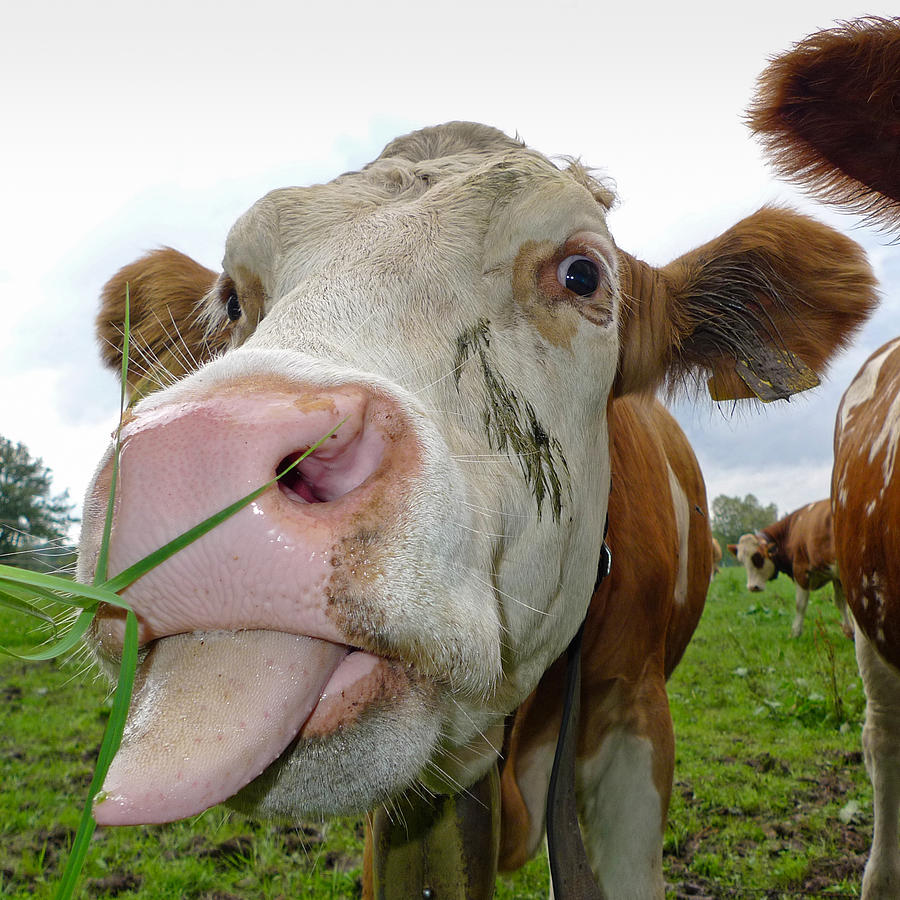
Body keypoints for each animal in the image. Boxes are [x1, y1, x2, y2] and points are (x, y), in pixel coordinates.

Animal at [724, 500, 852, 640]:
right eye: (741, 561)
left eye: (758, 558)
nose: (753, 587)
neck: (791, 531)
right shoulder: (836, 575)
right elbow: (841, 602)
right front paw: (849, 631)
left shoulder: (801, 572)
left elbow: (800, 605)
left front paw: (796, 632)